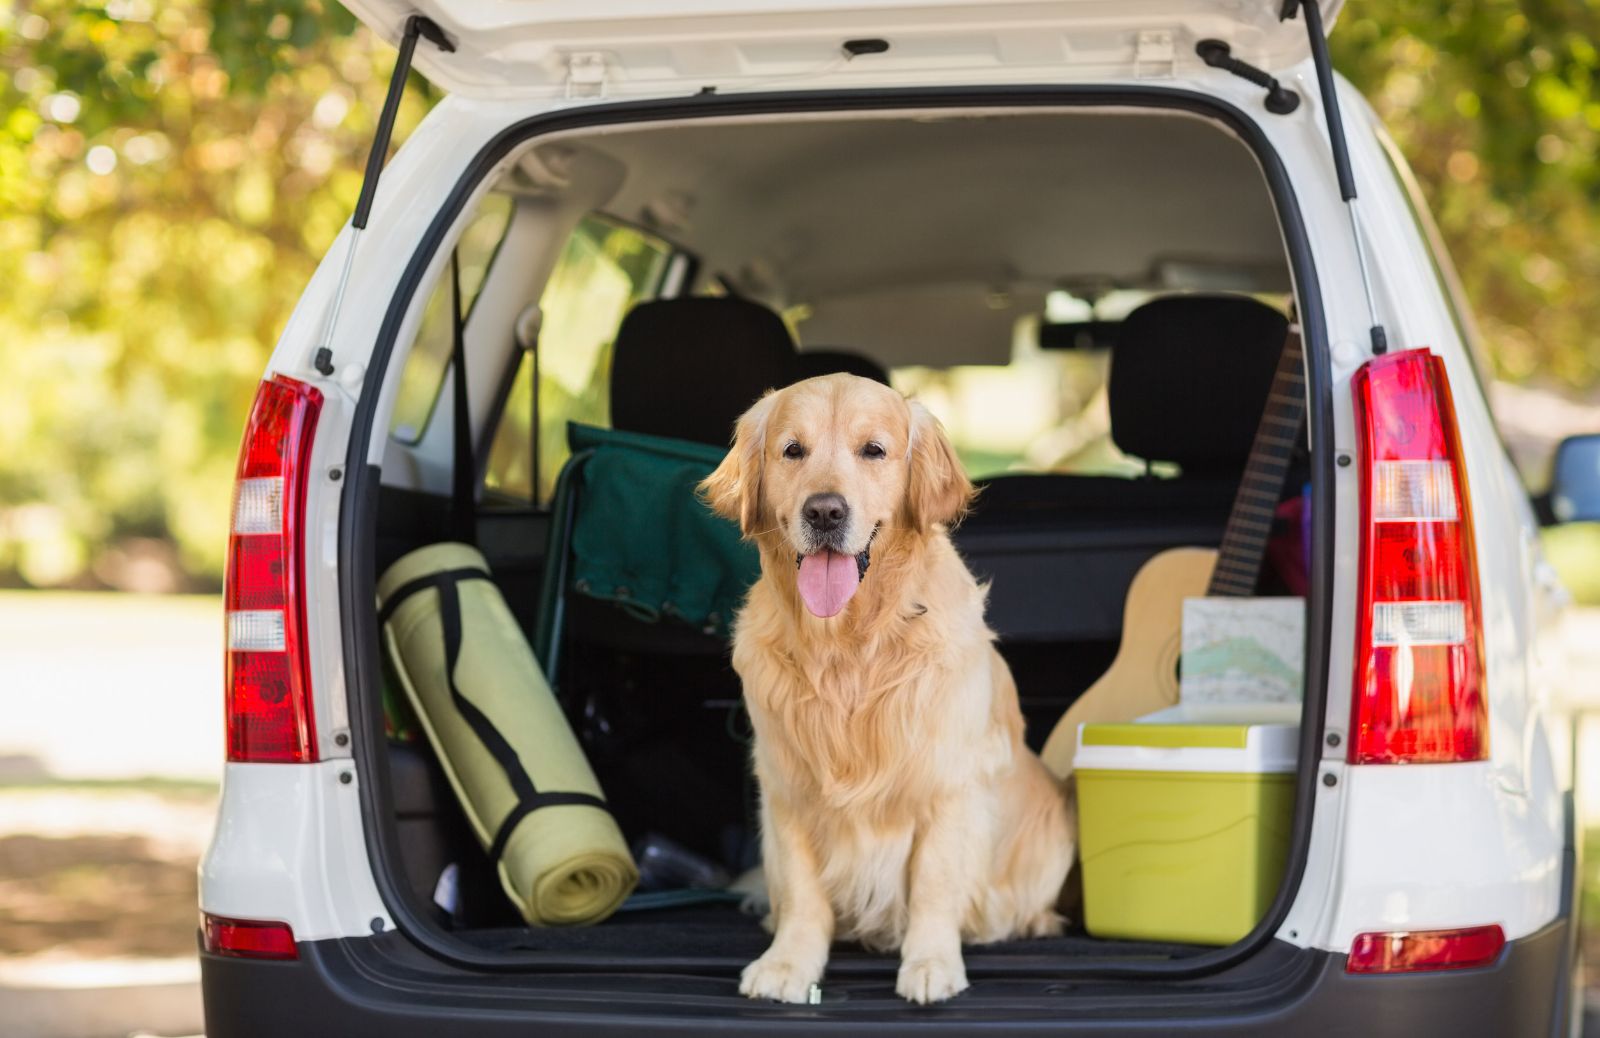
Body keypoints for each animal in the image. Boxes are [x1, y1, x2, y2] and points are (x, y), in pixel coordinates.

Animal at [700, 374, 1075, 1004]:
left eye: (873, 450)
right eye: (792, 450)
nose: (825, 511)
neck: (849, 646)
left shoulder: (948, 785)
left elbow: (934, 883)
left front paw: (930, 964)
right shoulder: (786, 784)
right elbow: (801, 890)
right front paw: (788, 963)